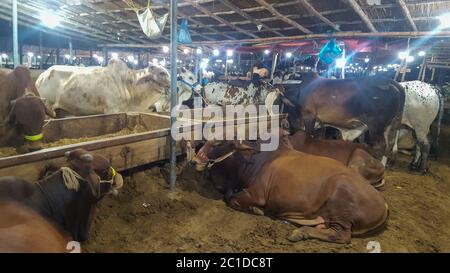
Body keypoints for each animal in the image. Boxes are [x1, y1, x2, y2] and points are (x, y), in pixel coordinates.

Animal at [192, 135, 388, 243]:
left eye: (219, 143)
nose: (195, 159)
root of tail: (383, 204)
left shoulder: (256, 195)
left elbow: (231, 199)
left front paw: (256, 210)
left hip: (342, 201)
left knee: (341, 235)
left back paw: (300, 233)